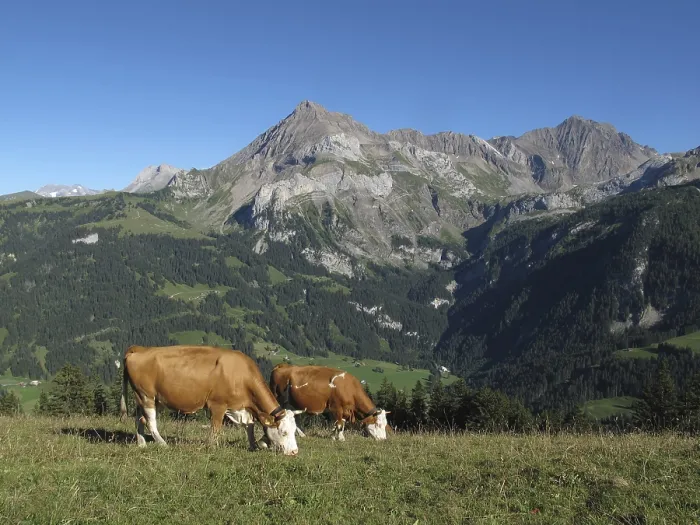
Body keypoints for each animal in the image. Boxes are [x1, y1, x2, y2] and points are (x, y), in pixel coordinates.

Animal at [120, 344, 304, 455]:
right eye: (284, 432)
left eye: (294, 431)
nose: (294, 452)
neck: (240, 375)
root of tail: (139, 349)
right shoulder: (218, 405)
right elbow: (216, 429)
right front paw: (212, 447)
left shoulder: (242, 407)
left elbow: (249, 426)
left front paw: (253, 445)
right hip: (146, 395)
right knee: (150, 422)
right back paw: (163, 444)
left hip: (142, 397)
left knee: (139, 418)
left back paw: (141, 443)